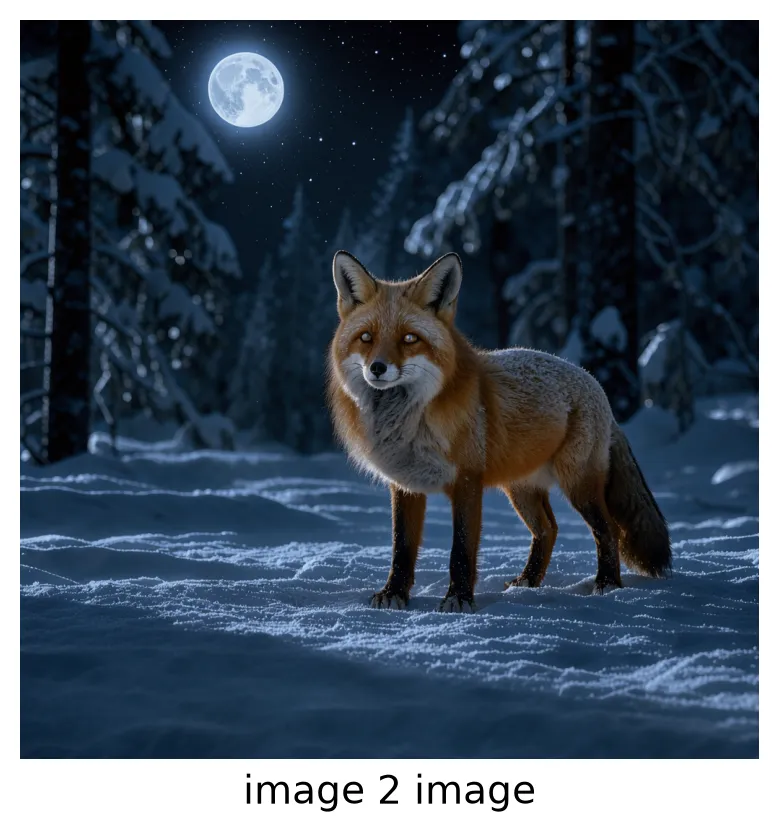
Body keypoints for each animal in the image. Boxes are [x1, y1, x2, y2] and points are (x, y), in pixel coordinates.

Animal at [326, 250, 672, 612]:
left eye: (409, 339)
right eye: (366, 337)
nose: (377, 368)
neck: (408, 422)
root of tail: (594, 382)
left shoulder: (466, 480)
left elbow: (461, 550)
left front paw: (459, 599)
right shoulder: (405, 485)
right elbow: (401, 549)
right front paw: (394, 593)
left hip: (578, 484)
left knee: (607, 531)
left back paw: (607, 584)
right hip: (520, 490)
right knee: (548, 529)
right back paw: (528, 582)